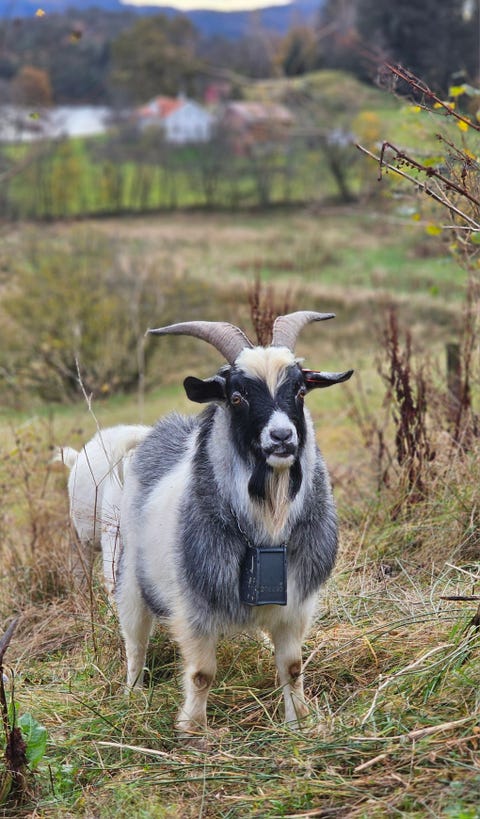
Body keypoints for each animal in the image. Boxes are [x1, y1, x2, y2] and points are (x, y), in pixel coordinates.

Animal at [117, 311, 353, 736]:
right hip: (130, 577)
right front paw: (193, 732)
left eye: (300, 391)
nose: (282, 437)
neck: (267, 530)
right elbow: (201, 674)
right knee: (135, 642)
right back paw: (133, 696)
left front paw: (299, 724)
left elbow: (292, 667)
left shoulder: (295, 605)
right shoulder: (194, 609)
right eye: (237, 397)